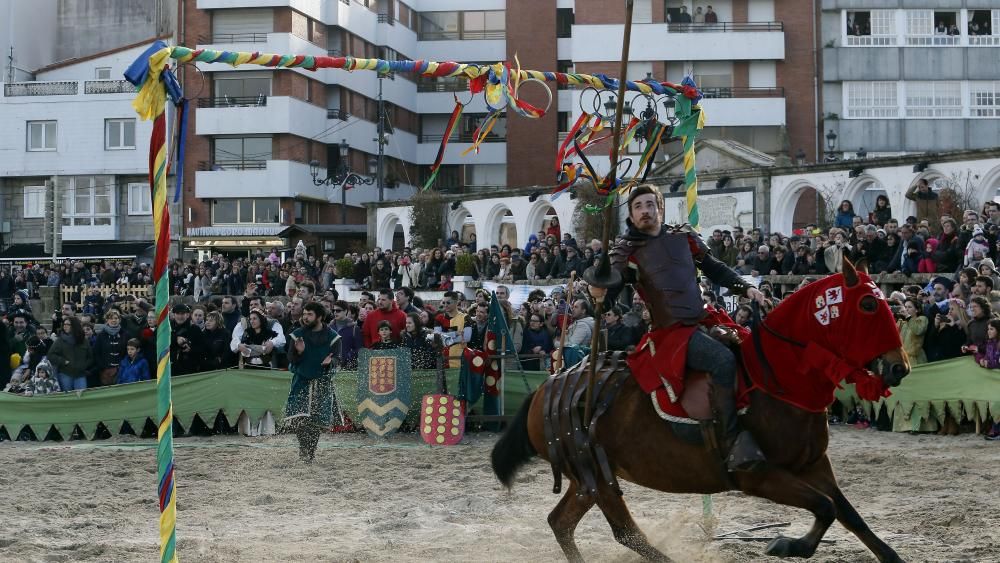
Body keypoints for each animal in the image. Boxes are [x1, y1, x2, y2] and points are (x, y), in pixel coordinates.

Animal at [488, 260, 912, 563]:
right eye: (868, 304)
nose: (899, 367)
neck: (775, 379)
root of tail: (546, 387)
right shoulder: (760, 477)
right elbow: (826, 507)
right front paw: (787, 545)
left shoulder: (813, 466)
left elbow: (848, 515)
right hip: (595, 475)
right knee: (624, 531)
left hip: (585, 478)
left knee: (562, 523)